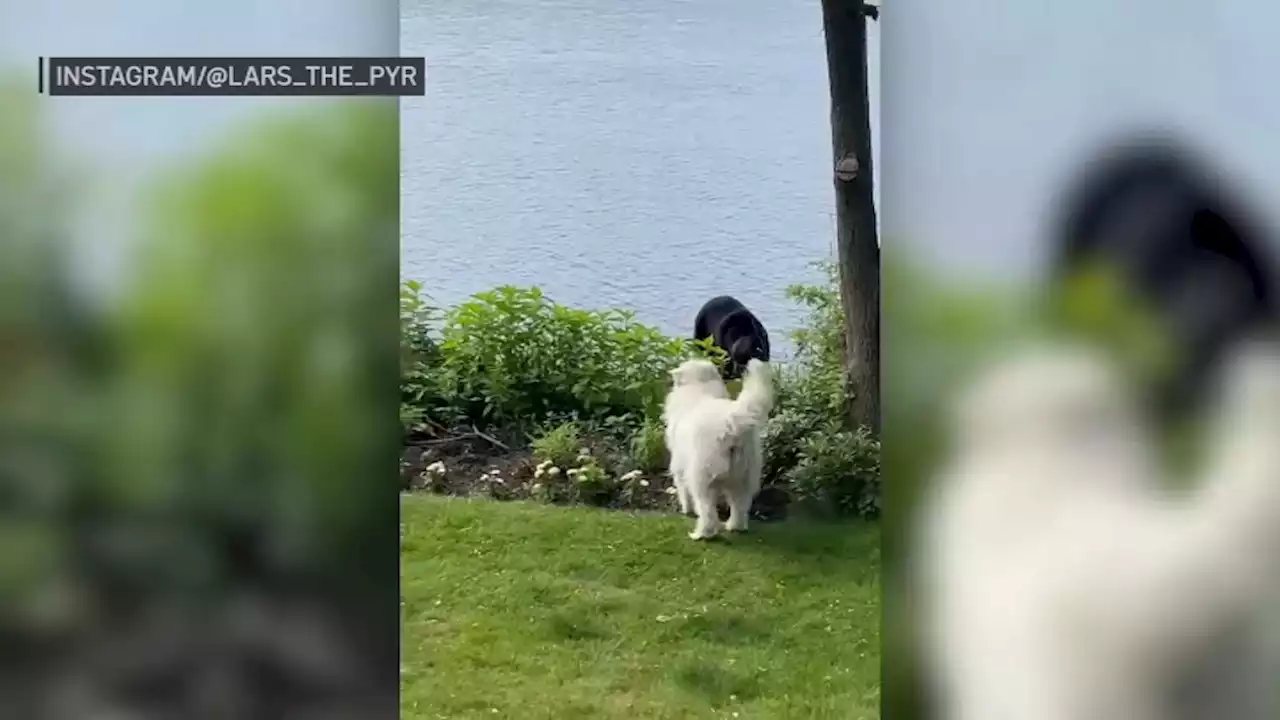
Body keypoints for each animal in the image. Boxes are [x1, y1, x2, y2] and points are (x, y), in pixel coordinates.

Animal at [665, 356, 773, 535]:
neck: (699, 389)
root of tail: (733, 419)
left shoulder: (679, 465)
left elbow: (683, 491)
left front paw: (686, 509)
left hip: (701, 477)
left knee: (707, 510)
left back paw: (702, 534)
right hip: (743, 477)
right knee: (739, 507)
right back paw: (734, 527)